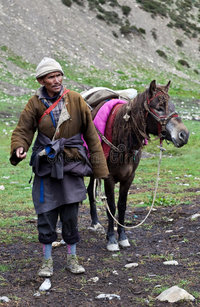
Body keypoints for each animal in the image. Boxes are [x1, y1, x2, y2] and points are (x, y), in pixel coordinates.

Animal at [83, 80, 189, 253]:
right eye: (159, 107)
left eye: (173, 105)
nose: (184, 135)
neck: (121, 137)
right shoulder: (109, 178)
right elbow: (111, 206)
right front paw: (111, 239)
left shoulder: (129, 178)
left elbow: (122, 206)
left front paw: (122, 237)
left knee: (90, 191)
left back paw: (95, 223)